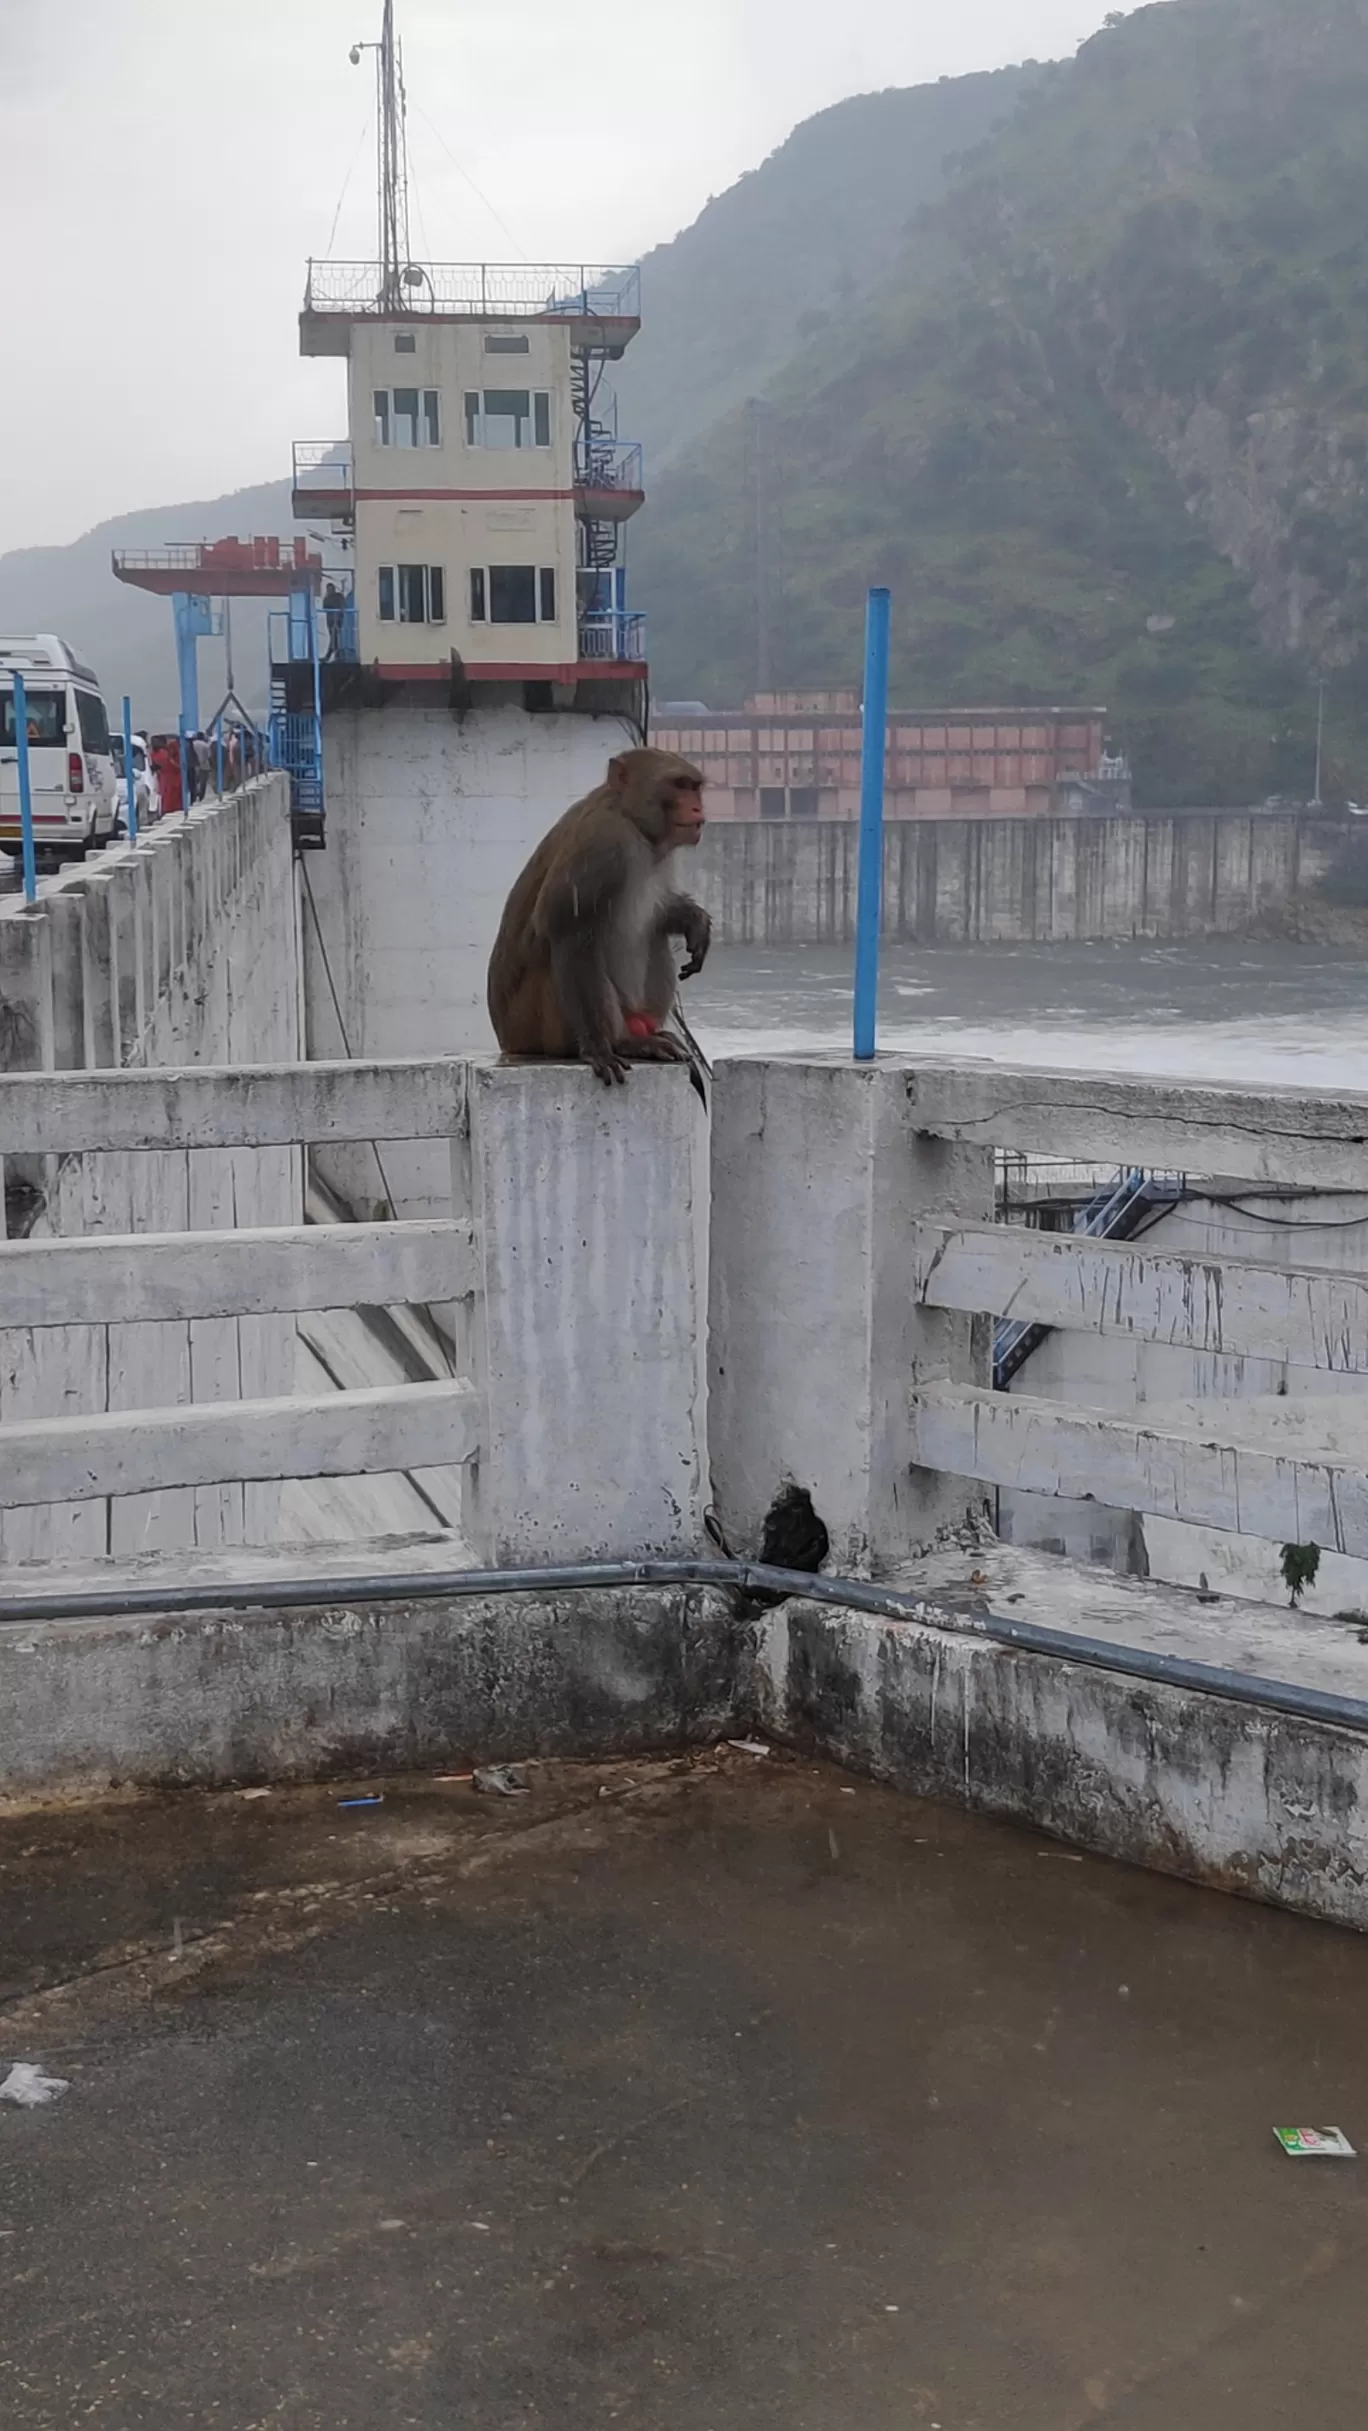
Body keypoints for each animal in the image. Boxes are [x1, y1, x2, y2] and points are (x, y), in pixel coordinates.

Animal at [485, 739, 714, 1084]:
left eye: (694, 787)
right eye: (678, 785)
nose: (698, 809)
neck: (632, 822)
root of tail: (508, 1040)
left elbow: (660, 912)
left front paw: (694, 920)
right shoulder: (602, 845)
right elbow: (569, 931)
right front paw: (598, 1048)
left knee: (654, 935)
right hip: (536, 1027)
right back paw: (624, 1042)